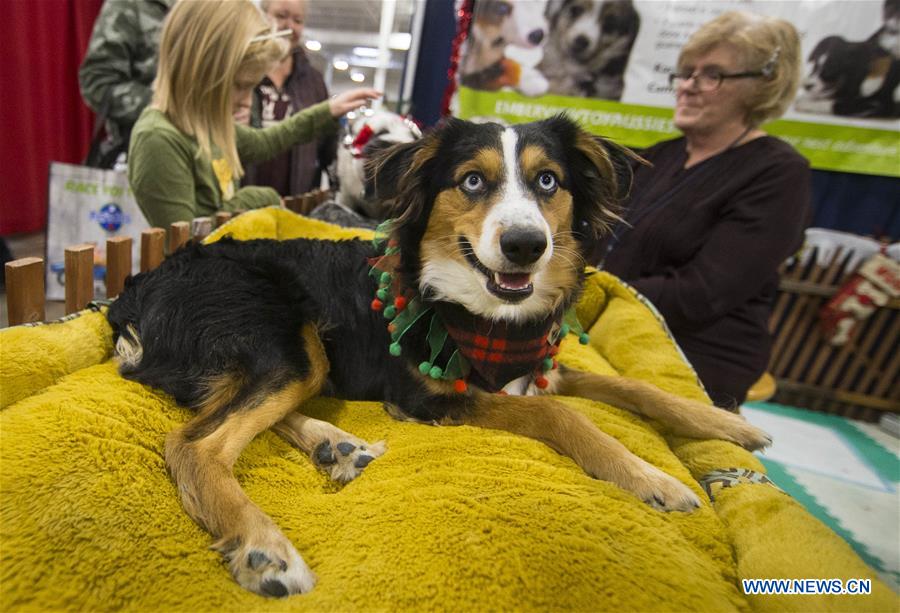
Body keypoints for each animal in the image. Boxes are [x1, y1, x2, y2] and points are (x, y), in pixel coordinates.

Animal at [109, 112, 768, 596]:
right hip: (278, 337)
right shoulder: (427, 396)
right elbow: (559, 414)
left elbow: (637, 386)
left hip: (296, 356)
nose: (525, 245)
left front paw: (727, 423)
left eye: (548, 181)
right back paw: (264, 548)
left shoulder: (538, 368)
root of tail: (133, 291)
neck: (486, 312)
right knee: (195, 444)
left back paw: (336, 445)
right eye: (471, 181)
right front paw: (651, 478)